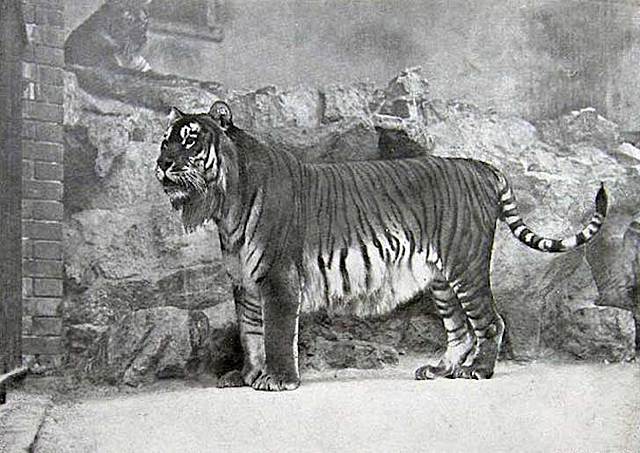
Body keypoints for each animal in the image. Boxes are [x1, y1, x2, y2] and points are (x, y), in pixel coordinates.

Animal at [155, 100, 608, 391]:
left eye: (191, 140)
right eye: (164, 141)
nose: (161, 164)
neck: (225, 203)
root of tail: (480, 166)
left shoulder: (277, 279)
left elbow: (277, 334)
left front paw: (278, 380)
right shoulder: (244, 282)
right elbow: (250, 333)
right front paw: (246, 376)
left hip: (466, 266)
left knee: (490, 322)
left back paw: (477, 371)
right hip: (442, 279)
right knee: (459, 329)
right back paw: (439, 370)